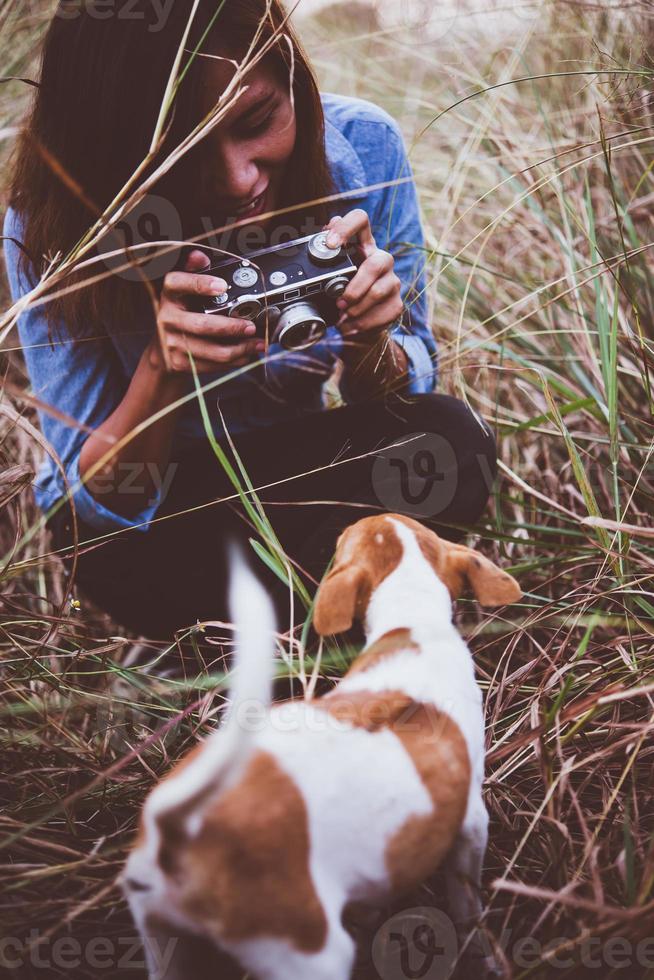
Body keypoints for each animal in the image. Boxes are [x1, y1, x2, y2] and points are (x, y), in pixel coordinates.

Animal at [124, 516, 524, 976]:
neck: (410, 625)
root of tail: (184, 829)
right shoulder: (471, 821)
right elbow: (467, 903)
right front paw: (482, 953)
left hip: (163, 940)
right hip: (310, 955)